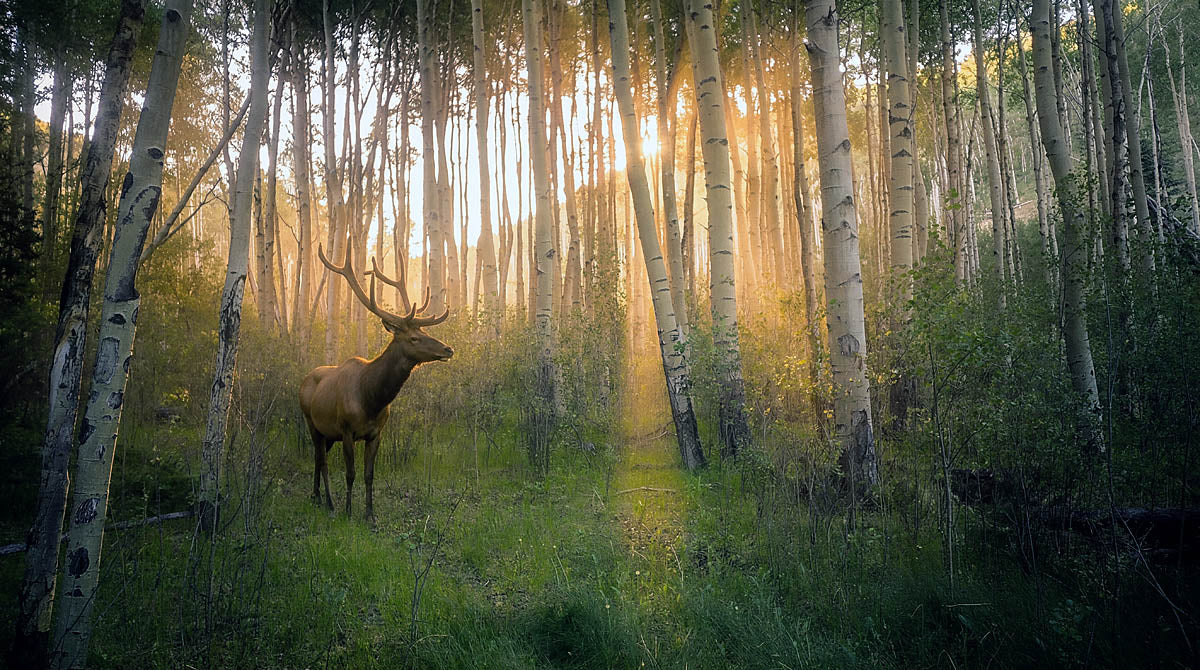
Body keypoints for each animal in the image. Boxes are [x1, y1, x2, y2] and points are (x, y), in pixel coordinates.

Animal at [299, 241, 453, 521]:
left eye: (424, 331)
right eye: (414, 338)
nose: (448, 349)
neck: (372, 399)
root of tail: (305, 380)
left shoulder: (376, 433)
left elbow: (369, 475)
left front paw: (370, 515)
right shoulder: (347, 430)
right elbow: (350, 474)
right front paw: (349, 512)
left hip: (328, 434)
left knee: (318, 458)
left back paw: (316, 496)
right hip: (311, 422)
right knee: (321, 461)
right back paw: (330, 502)